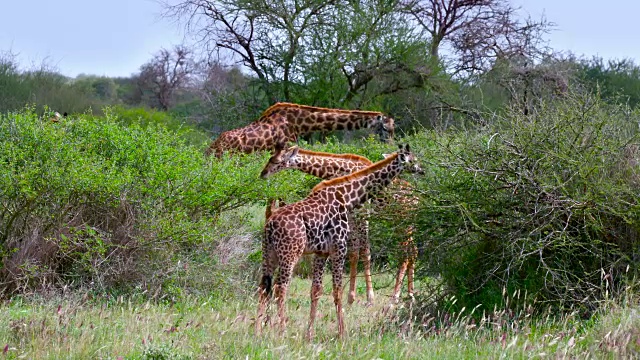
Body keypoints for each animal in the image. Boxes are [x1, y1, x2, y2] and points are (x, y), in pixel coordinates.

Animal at [258, 145, 422, 338]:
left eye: (275, 160)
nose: (263, 173)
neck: (338, 171)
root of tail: (418, 200)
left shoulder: (360, 214)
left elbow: (363, 252)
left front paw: (367, 298)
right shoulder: (349, 222)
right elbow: (354, 255)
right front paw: (352, 301)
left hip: (404, 222)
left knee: (407, 252)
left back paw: (400, 298)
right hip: (403, 223)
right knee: (411, 252)